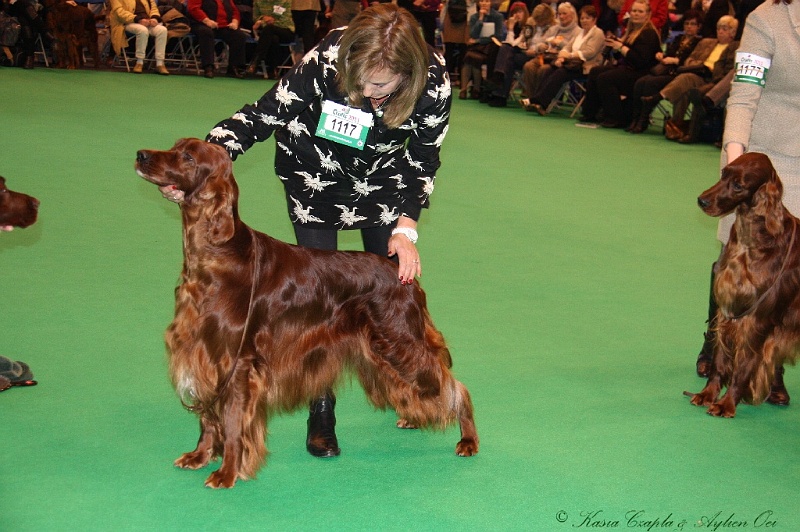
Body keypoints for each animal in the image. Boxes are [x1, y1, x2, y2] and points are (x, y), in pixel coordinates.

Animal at [134, 139, 478, 488]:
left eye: (188, 156)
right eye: (175, 147)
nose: (141, 155)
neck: (218, 253)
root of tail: (403, 275)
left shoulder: (237, 361)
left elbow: (231, 423)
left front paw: (227, 472)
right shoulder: (203, 351)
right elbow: (207, 416)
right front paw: (200, 456)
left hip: (400, 343)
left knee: (455, 387)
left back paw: (468, 440)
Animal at [680, 152, 800, 418]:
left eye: (738, 186)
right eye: (724, 173)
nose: (702, 200)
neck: (749, 242)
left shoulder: (756, 320)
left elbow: (743, 367)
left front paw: (726, 404)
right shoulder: (728, 311)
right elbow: (719, 361)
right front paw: (707, 394)